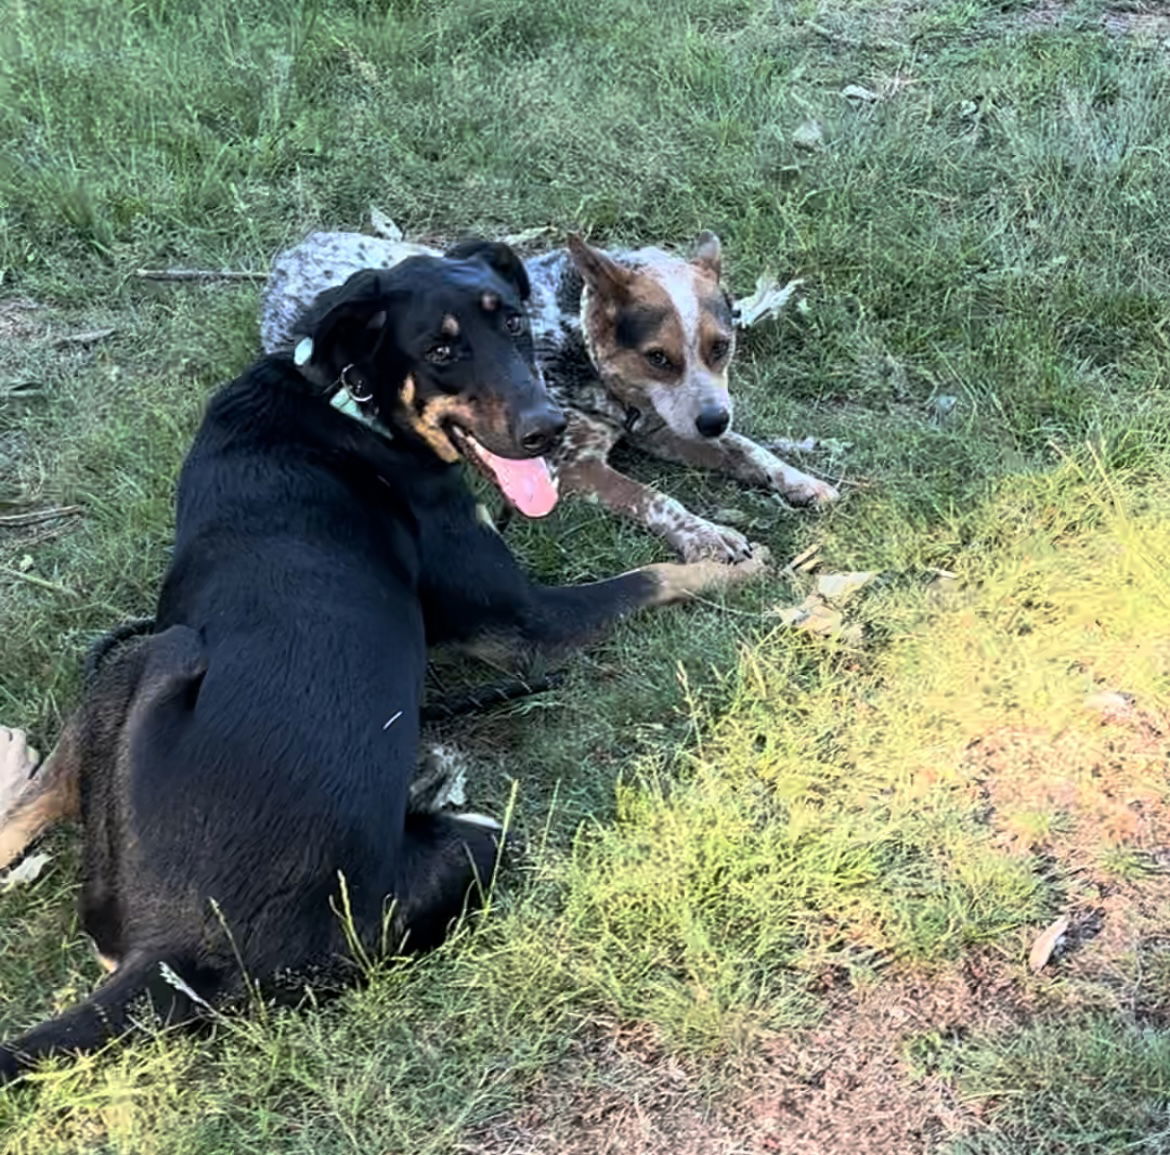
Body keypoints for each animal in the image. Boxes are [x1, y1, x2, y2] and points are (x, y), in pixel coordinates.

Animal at [0, 239, 762, 1081]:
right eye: (441, 351)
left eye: (516, 322)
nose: (548, 428)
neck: (347, 400)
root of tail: (175, 954)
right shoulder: (525, 621)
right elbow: (655, 575)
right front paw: (735, 558)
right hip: (161, 654)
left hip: (472, 840)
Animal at [260, 231, 837, 564]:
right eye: (659, 357)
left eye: (721, 347)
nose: (715, 419)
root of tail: (289, 255)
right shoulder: (573, 466)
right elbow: (655, 498)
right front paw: (705, 534)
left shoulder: (660, 427)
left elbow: (749, 451)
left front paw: (798, 479)